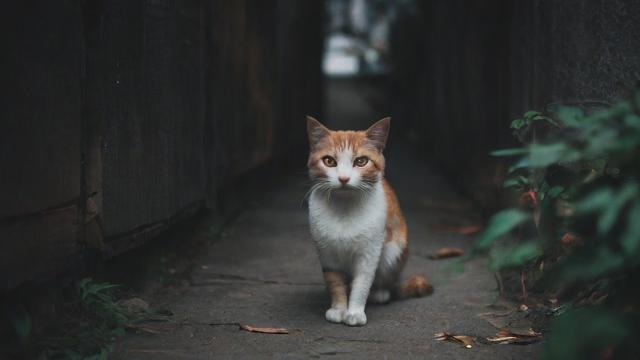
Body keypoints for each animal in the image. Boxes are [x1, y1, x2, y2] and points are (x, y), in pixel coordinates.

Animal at [304, 116, 430, 326]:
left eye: (361, 161)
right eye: (329, 161)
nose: (344, 178)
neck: (344, 208)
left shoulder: (369, 252)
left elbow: (362, 282)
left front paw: (354, 311)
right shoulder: (326, 251)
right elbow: (335, 281)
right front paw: (338, 309)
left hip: (394, 249)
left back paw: (380, 293)